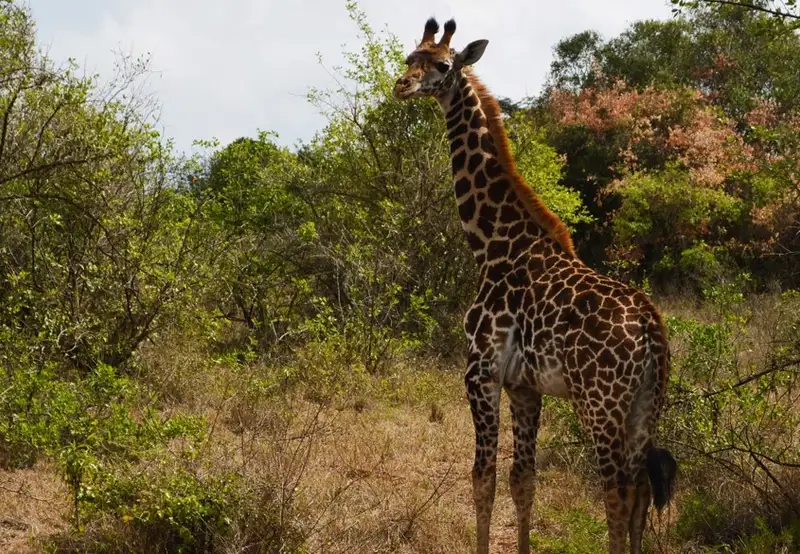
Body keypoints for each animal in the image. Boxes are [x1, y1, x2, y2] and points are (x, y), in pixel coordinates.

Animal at [393, 18, 677, 554]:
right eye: (408, 59)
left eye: (443, 66)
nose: (401, 86)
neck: (492, 246)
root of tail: (653, 329)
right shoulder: (525, 386)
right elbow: (522, 481)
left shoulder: (480, 373)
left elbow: (482, 479)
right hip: (644, 405)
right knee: (641, 490)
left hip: (600, 402)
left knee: (617, 492)